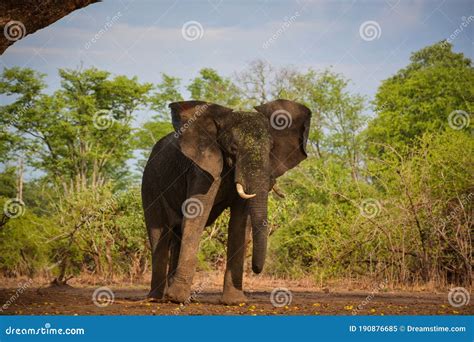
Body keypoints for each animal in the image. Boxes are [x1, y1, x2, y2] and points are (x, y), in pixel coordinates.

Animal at [141, 99, 312, 304]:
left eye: (271, 150)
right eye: (233, 149)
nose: (256, 269)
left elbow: (239, 223)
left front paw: (235, 301)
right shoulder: (202, 169)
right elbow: (196, 217)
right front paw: (178, 299)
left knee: (176, 234)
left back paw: (166, 296)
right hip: (150, 183)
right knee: (159, 233)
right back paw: (157, 298)